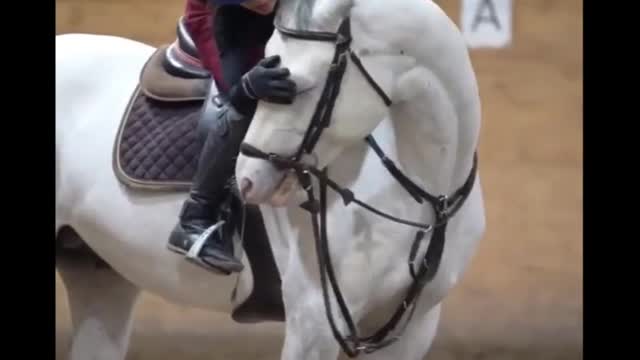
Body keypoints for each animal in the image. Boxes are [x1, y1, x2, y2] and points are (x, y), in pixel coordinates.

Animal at [56, 0, 484, 360]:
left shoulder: (412, 331)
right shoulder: (313, 323)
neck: (421, 192)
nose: (245, 181)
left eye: (304, 86)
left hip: (100, 275)